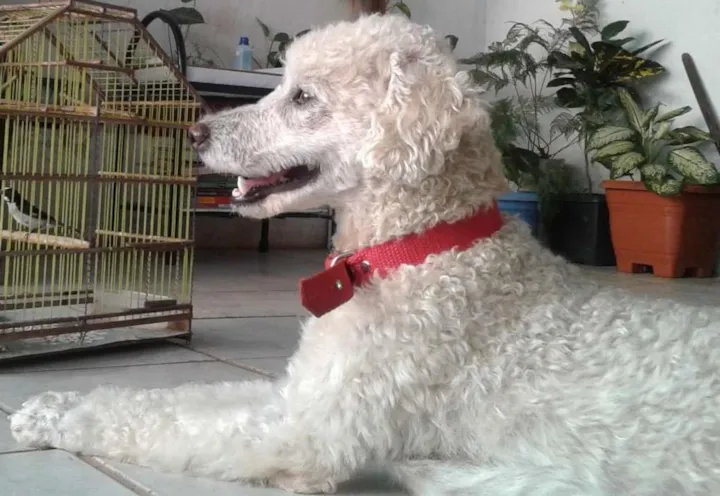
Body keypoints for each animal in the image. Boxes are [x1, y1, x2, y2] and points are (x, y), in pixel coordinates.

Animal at [10, 14, 720, 495]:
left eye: (302, 96)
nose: (194, 130)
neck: (418, 249)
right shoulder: (297, 394)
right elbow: (171, 398)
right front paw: (55, 404)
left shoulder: (306, 432)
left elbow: (161, 425)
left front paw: (54, 416)